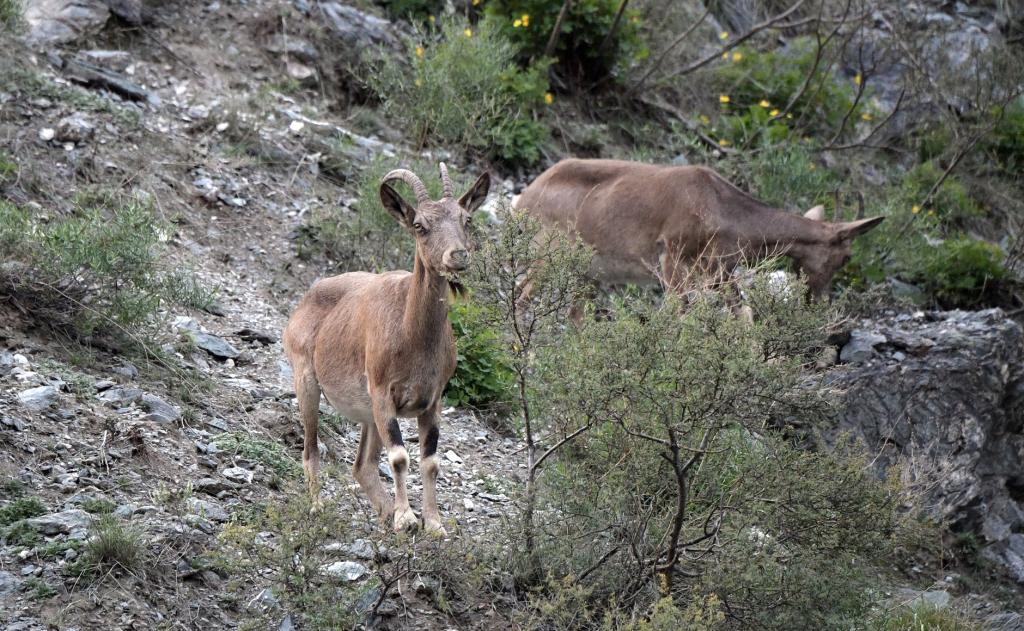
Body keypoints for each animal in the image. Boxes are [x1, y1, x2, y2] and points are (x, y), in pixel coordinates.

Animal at [280, 162, 487, 532]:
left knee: (362, 465)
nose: (458, 255)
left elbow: (430, 461)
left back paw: (385, 511)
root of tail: (306, 299)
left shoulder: (432, 400)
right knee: (311, 448)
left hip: (368, 415)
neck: (412, 337)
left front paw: (432, 523)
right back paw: (318, 506)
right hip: (307, 382)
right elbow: (400, 457)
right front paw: (406, 518)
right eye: (419, 225)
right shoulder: (382, 393)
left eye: (466, 219)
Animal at [516, 156, 884, 297]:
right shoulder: (672, 260)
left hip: (584, 272)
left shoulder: (720, 274)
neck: (721, 206)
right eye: (846, 257)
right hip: (547, 256)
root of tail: (524, 198)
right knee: (524, 296)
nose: (815, 298)